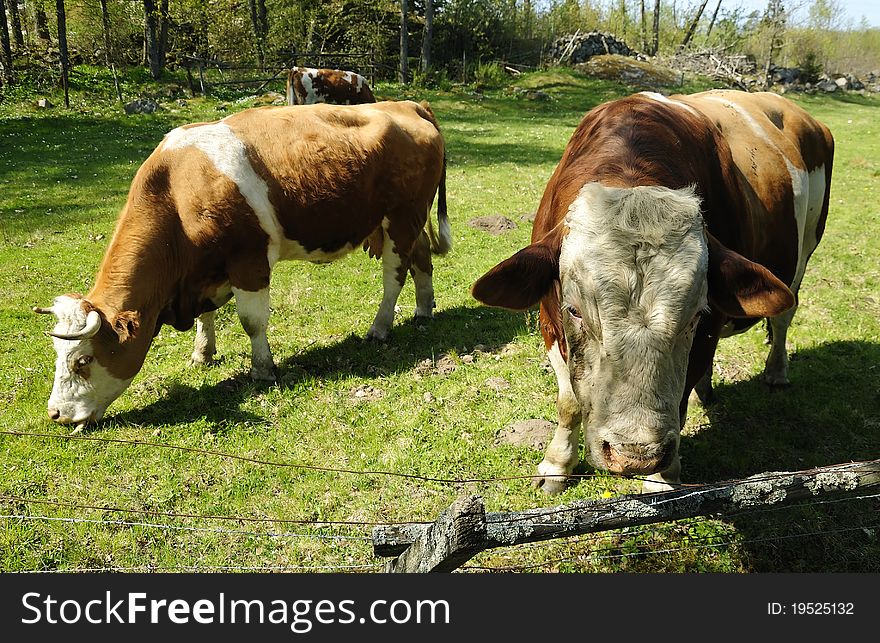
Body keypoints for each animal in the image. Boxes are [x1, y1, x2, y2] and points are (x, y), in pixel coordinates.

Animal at [33, 100, 450, 430]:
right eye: (57, 356)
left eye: (83, 360)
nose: (55, 413)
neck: (177, 191)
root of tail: (407, 104)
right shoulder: (207, 271)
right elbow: (206, 317)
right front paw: (202, 354)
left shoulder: (249, 261)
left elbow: (252, 322)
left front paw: (262, 369)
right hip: (407, 223)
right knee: (422, 260)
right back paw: (423, 310)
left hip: (401, 219)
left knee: (394, 276)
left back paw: (380, 327)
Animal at [470, 89, 836, 494]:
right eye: (575, 310)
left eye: (695, 315)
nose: (636, 454)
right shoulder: (549, 320)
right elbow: (569, 401)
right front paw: (557, 466)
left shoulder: (706, 333)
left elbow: (680, 399)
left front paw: (663, 481)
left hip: (805, 252)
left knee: (784, 318)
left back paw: (776, 371)